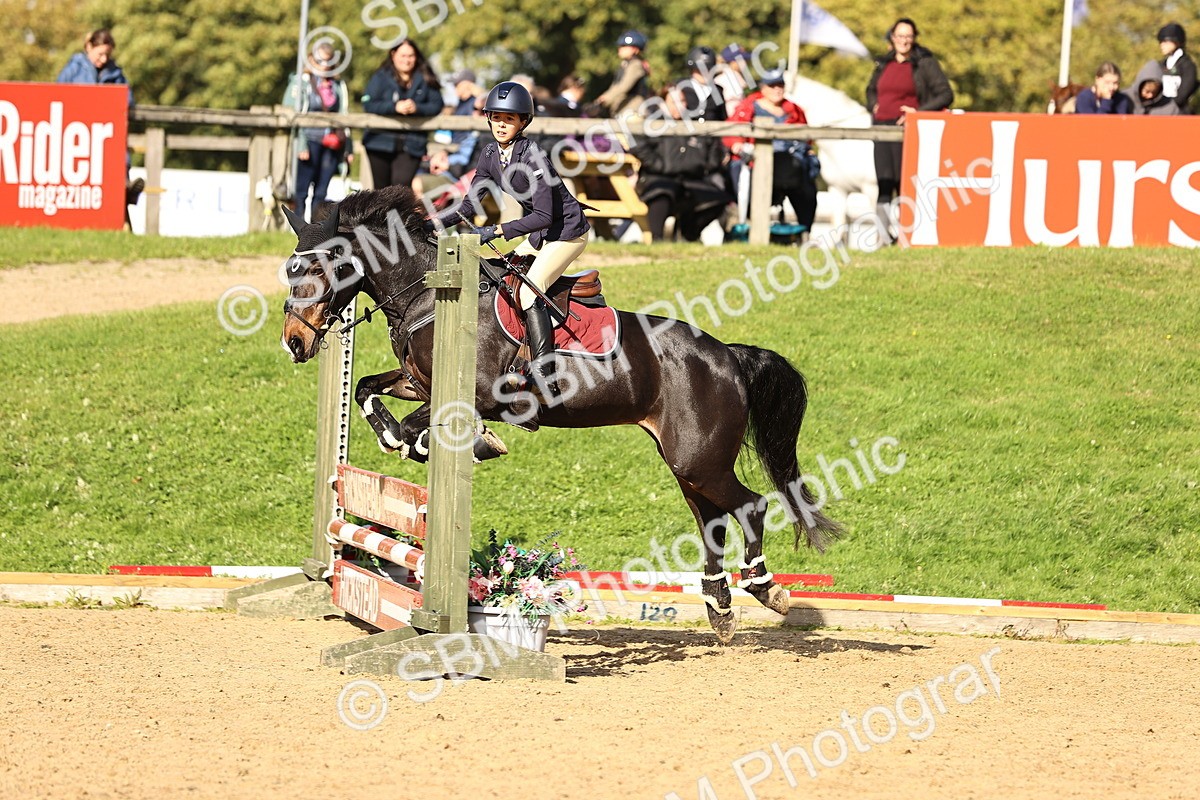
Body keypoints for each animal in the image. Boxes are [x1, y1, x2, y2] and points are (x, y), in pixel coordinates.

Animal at [279, 186, 840, 643]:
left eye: (320, 269)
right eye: (290, 270)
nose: (294, 342)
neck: (425, 292)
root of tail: (728, 355)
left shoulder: (479, 395)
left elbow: (428, 422)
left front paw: (462, 443)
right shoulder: (418, 381)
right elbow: (366, 391)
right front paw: (396, 437)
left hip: (700, 460)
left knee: (750, 507)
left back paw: (767, 591)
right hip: (688, 463)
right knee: (712, 520)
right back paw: (720, 609)